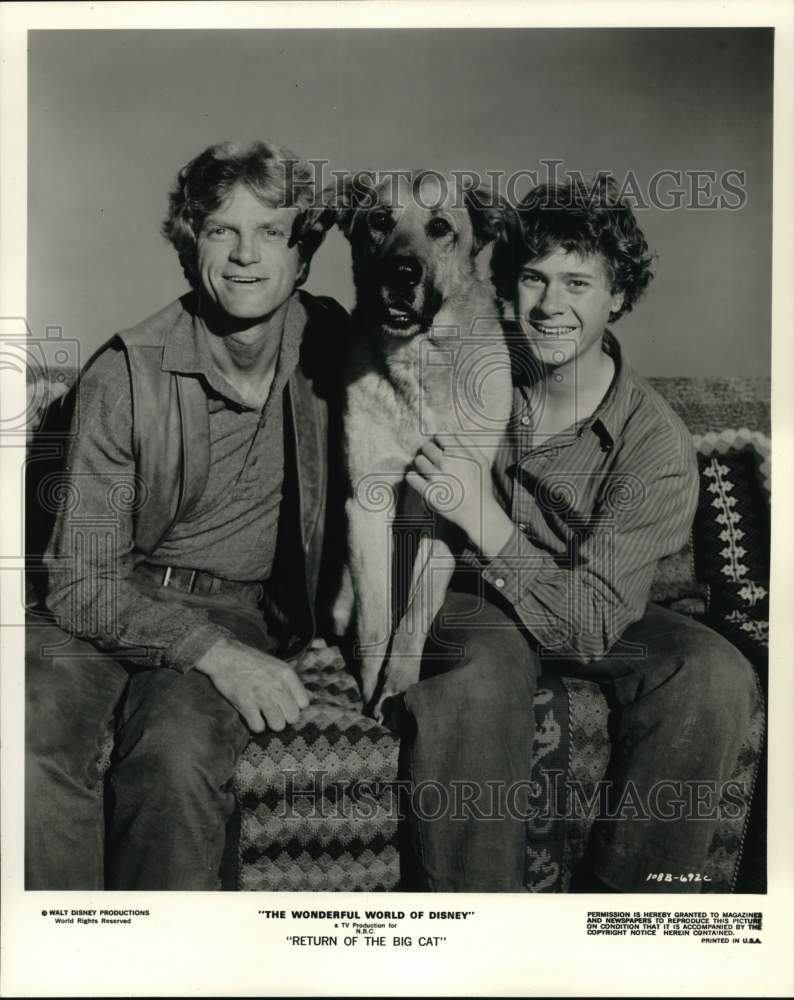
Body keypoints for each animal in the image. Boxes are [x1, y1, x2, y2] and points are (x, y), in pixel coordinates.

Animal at [326, 170, 508, 720]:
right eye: (380, 221)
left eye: (441, 226)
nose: (402, 273)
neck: (419, 365)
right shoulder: (367, 500)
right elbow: (374, 616)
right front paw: (368, 690)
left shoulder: (449, 505)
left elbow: (413, 615)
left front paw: (397, 687)